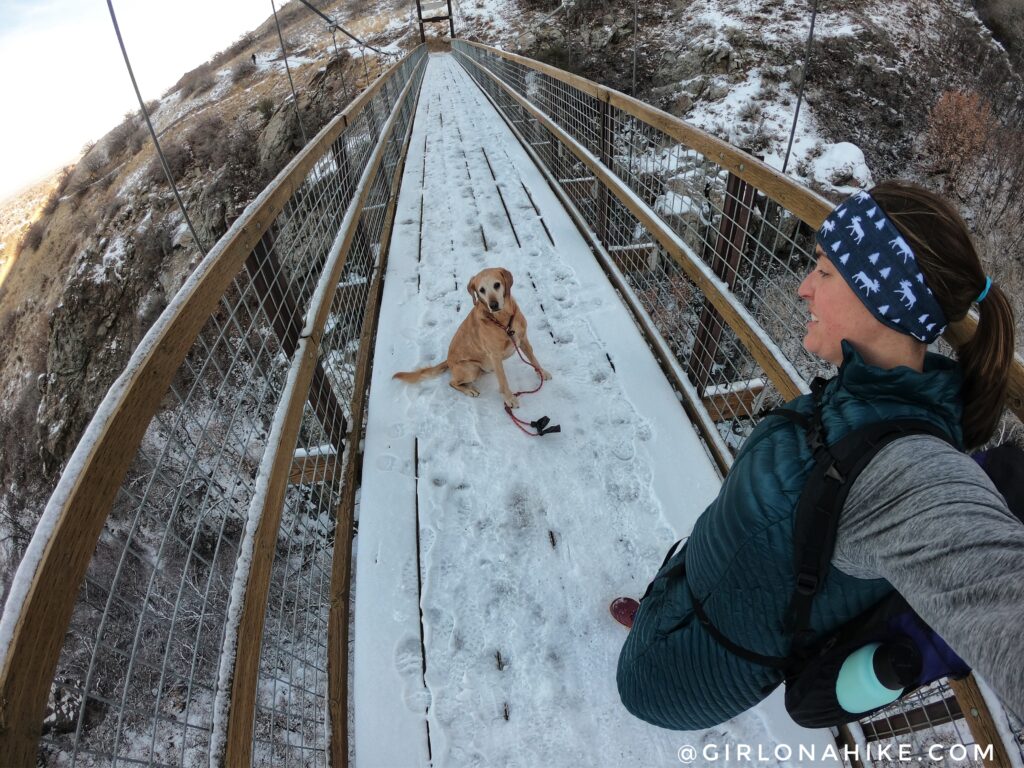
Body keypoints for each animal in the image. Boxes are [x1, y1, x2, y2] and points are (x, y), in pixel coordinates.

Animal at [393, 268, 552, 409]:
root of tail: (448, 361)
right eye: (481, 290)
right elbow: (503, 381)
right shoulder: (494, 355)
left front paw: (542, 373)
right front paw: (509, 399)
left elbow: (534, 360)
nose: (493, 305)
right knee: (452, 382)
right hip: (471, 369)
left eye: (497, 284)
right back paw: (469, 390)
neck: (503, 321)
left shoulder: (523, 340)